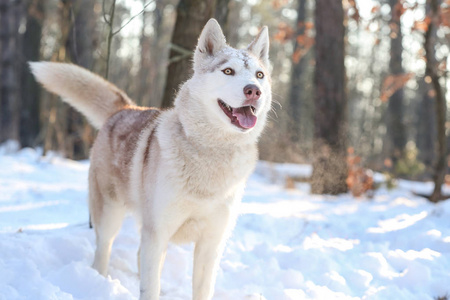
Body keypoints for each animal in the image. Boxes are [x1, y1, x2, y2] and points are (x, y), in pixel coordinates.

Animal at [31, 19, 272, 300]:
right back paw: (98, 282)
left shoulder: (211, 243)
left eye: (259, 75)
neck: (211, 154)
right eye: (228, 71)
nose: (253, 91)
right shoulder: (157, 234)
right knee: (103, 251)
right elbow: (149, 288)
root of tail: (125, 109)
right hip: (110, 215)